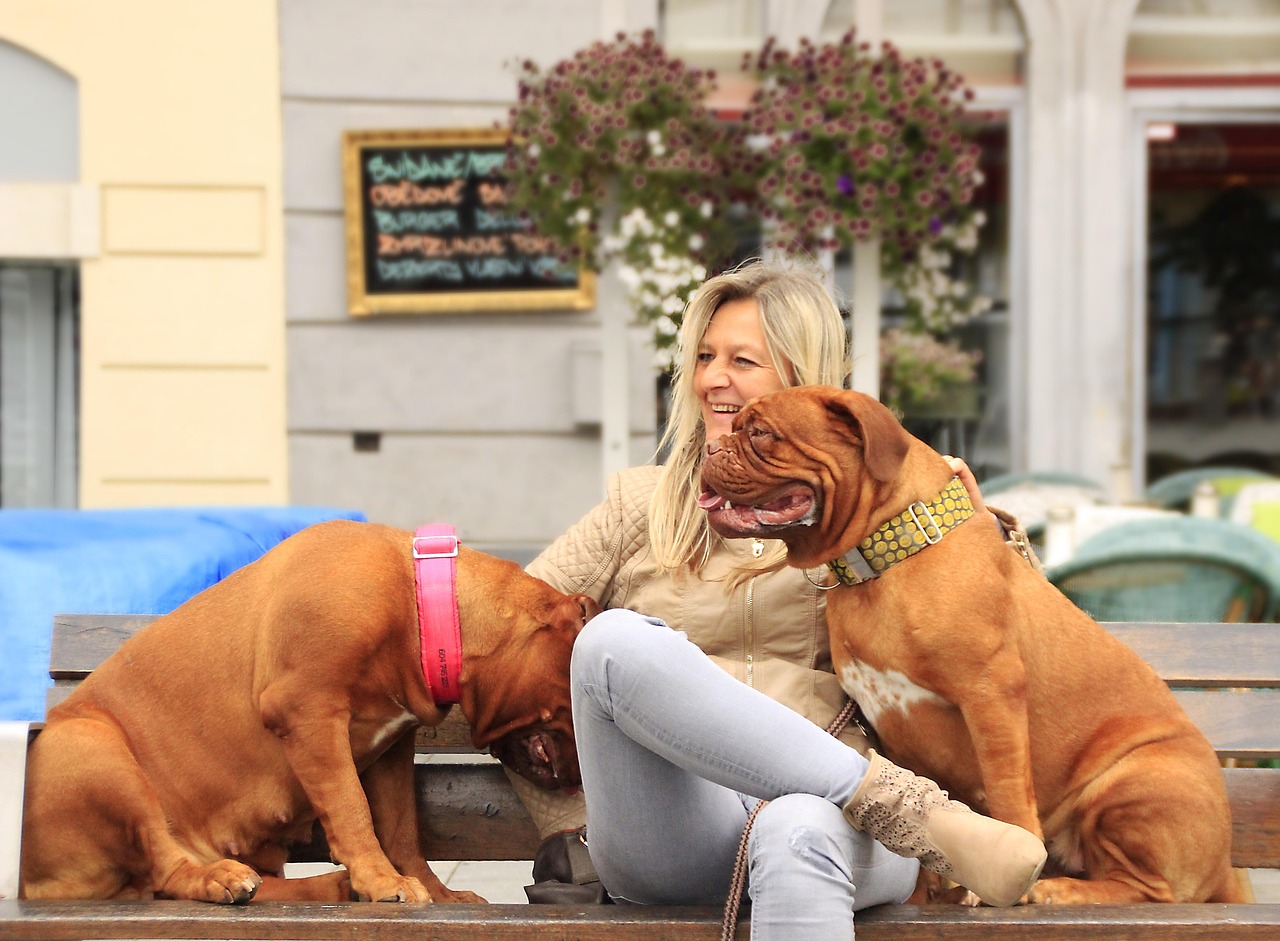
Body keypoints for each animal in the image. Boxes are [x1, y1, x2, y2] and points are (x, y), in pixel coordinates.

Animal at [18, 522, 599, 906]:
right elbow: (352, 810)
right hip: (94, 750)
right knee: (166, 869)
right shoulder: (309, 712)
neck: (423, 607)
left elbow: (401, 831)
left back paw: (323, 885)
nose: (587, 781)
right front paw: (381, 880)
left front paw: (429, 890)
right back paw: (218, 878)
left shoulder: (391, 747)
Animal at [696, 389, 1244, 906]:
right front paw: (919, 896)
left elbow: (1007, 791)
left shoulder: (991, 694)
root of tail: (1225, 868)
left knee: (1152, 888)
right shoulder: (898, 733)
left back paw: (1058, 890)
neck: (885, 558)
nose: (712, 447)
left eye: (761, 433)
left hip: (1134, 783)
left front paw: (1014, 861)